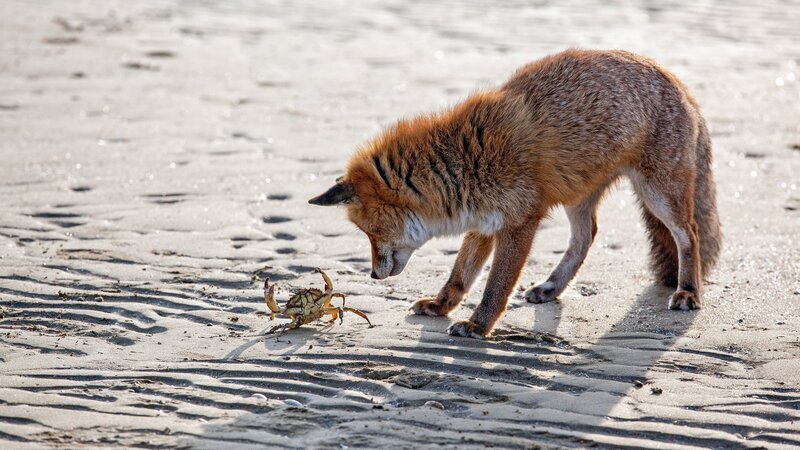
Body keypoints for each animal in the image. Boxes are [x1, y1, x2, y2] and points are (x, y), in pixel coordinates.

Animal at [309, 49, 721, 339]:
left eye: (371, 233)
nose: (372, 275)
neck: (464, 162)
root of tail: (676, 79)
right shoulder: (482, 223)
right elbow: (459, 276)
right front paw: (442, 307)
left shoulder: (519, 224)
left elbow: (495, 286)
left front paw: (477, 326)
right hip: (578, 197)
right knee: (586, 238)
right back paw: (552, 287)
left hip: (659, 194)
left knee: (689, 235)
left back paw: (688, 292)